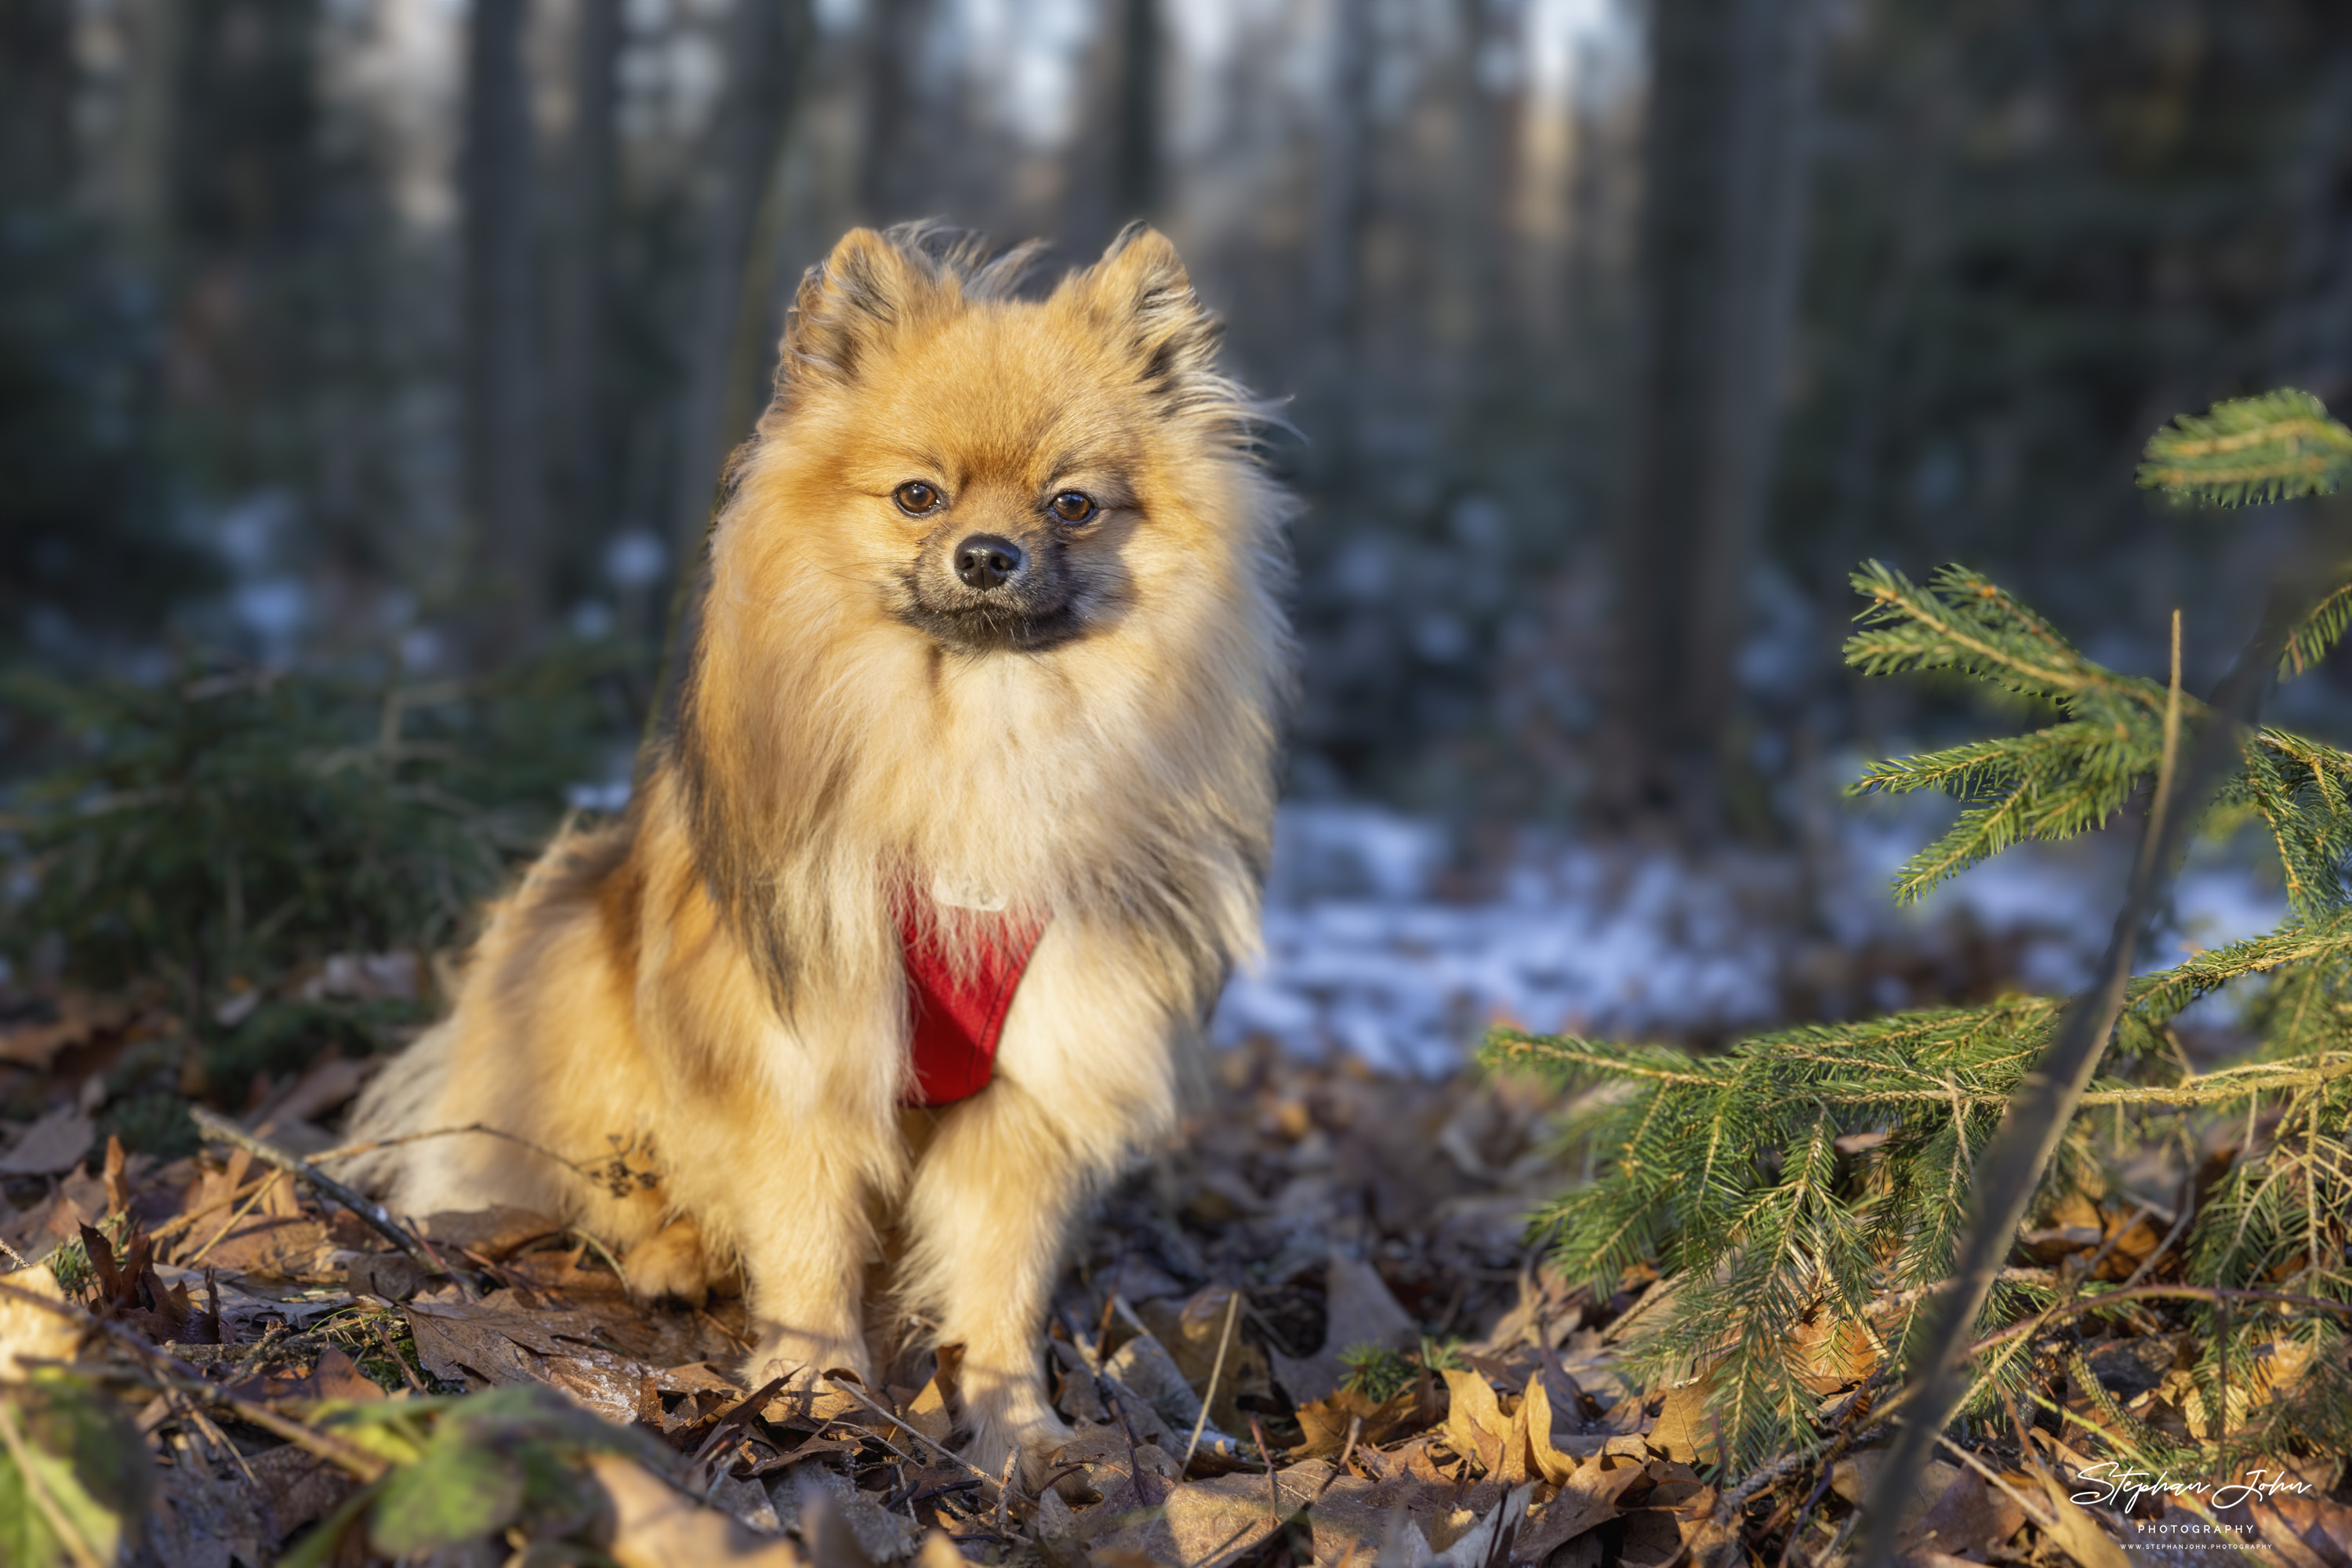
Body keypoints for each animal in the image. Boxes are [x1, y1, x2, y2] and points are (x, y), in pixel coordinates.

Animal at [353, 223, 1289, 1486]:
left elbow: (1001, 1278)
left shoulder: (1039, 1071)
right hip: (573, 964)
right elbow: (803, 1243)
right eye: (917, 495)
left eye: (1075, 505)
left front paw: (1019, 1427)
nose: (987, 554)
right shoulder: (804, 1052)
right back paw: (670, 1249)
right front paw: (815, 1391)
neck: (980, 742)